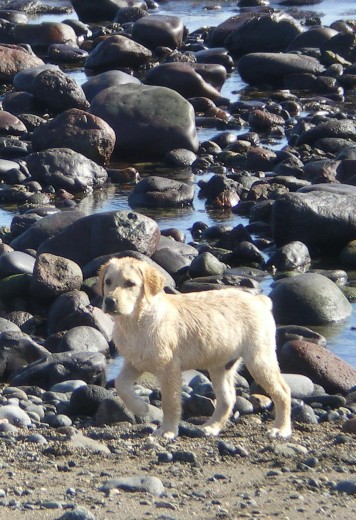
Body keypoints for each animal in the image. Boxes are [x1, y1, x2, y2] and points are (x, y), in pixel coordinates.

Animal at [98, 256, 292, 438]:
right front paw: (141, 408)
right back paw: (211, 427)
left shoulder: (169, 368)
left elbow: (170, 402)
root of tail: (260, 300)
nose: (109, 301)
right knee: (227, 398)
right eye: (108, 282)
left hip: (259, 358)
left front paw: (167, 431)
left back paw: (281, 429)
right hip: (221, 365)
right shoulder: (134, 362)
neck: (135, 321)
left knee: (283, 391)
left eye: (130, 284)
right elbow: (120, 385)